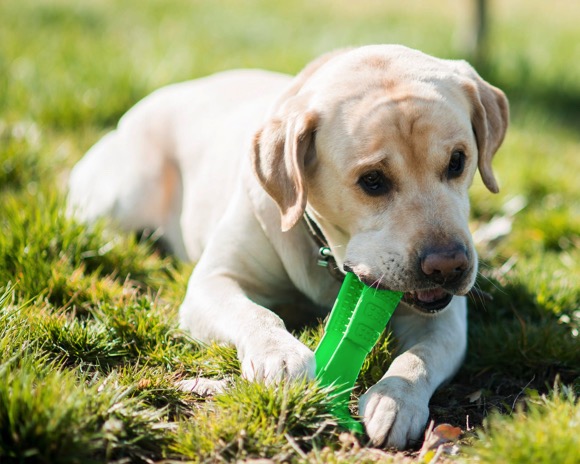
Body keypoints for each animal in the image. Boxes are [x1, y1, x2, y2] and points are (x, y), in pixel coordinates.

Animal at [68, 45, 508, 448]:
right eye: (372, 180)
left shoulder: (446, 321)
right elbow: (256, 314)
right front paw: (279, 356)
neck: (327, 256)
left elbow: (421, 356)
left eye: (457, 161)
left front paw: (395, 398)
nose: (448, 266)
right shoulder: (212, 282)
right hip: (122, 198)